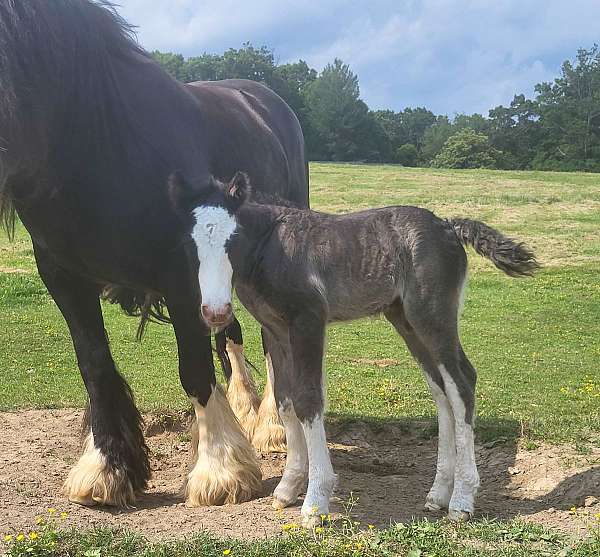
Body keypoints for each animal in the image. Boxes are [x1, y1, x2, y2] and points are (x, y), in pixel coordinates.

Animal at [0, 0, 308, 506]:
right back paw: (246, 409)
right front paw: (108, 466)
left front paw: (220, 470)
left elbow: (194, 368)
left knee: (269, 336)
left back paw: (272, 426)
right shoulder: (63, 276)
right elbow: (95, 366)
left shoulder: (182, 275)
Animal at [168, 172, 540, 524]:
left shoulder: (308, 320)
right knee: (441, 390)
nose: (215, 312)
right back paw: (438, 494)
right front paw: (287, 487)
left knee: (462, 383)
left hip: (432, 317)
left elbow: (308, 400)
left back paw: (462, 500)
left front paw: (314, 503)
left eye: (233, 238)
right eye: (188, 243)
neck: (271, 246)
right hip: (405, 320)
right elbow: (285, 401)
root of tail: (448, 225)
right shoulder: (275, 330)